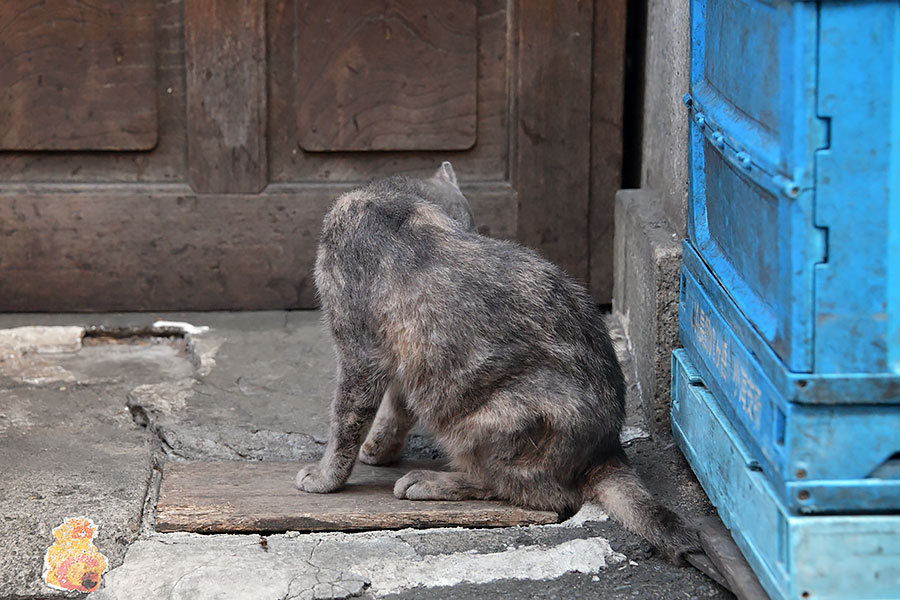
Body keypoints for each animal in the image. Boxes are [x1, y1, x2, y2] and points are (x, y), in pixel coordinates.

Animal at [298, 163, 700, 564]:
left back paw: (431, 481)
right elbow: (394, 412)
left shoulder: (361, 353)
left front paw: (326, 476)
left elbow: (345, 423)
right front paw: (378, 449)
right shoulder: (405, 358)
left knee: (536, 492)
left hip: (490, 419)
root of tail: (608, 449)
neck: (400, 196)